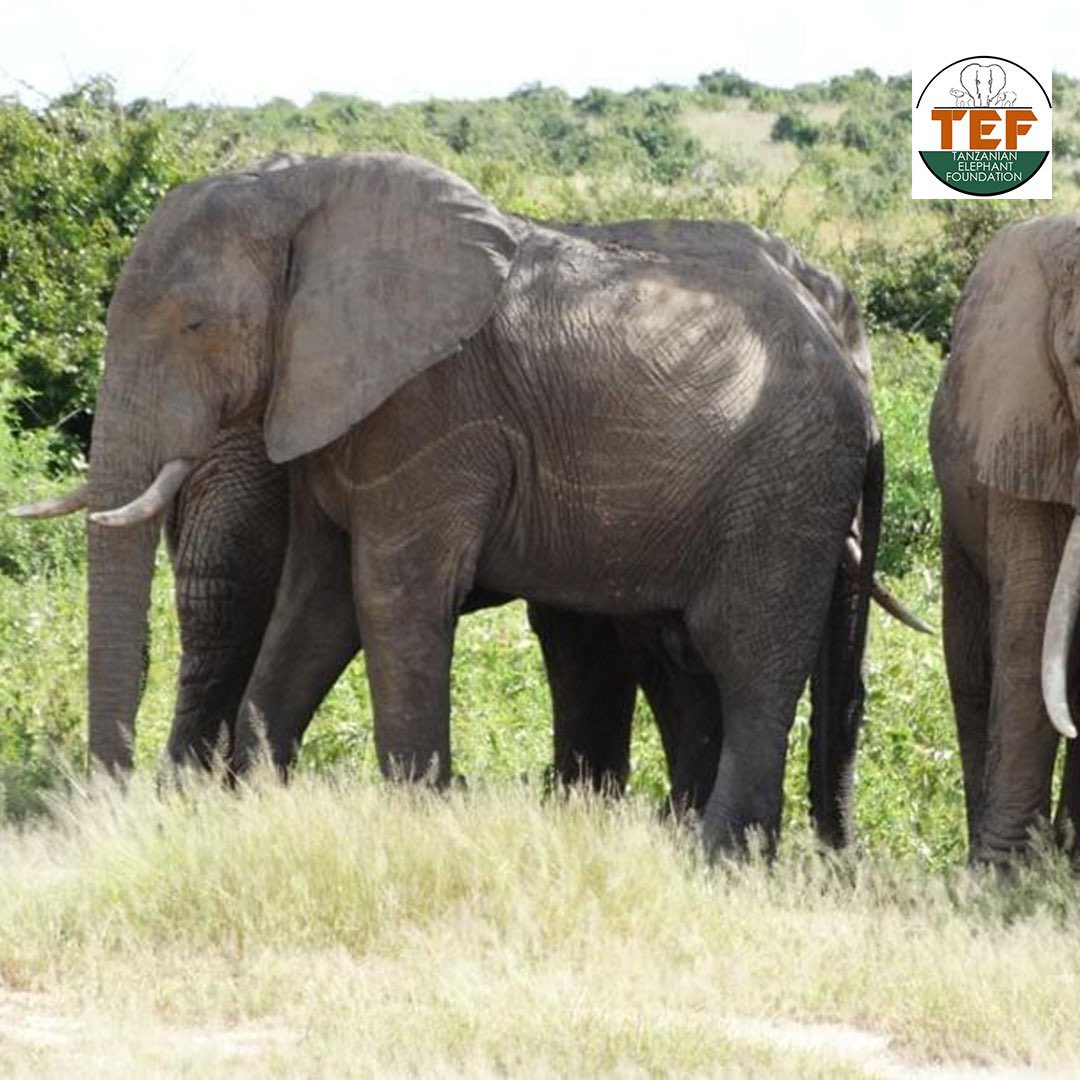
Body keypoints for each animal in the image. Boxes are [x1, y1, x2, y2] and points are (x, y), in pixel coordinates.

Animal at [11, 154, 880, 853]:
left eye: (196, 324)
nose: (110, 810)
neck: (308, 194)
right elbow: (318, 604)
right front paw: (249, 808)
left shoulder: (433, 408)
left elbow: (392, 596)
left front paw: (412, 825)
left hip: (786, 484)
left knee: (748, 658)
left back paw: (720, 859)